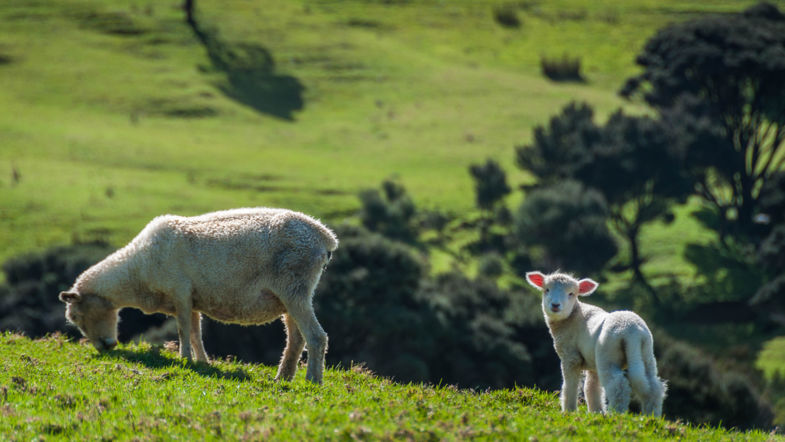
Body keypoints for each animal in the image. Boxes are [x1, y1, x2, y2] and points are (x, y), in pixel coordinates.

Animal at [55, 207, 336, 384]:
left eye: (76, 317)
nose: (105, 347)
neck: (136, 270)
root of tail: (325, 237)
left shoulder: (179, 291)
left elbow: (182, 330)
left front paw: (184, 359)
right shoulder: (192, 300)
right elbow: (195, 332)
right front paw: (201, 362)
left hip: (294, 287)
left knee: (316, 336)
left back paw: (313, 381)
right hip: (290, 294)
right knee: (296, 339)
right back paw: (283, 378)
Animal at [524, 272, 664, 416]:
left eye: (571, 293)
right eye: (547, 290)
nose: (555, 305)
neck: (572, 316)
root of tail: (632, 331)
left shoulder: (570, 356)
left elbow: (570, 384)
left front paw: (569, 410)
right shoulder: (592, 363)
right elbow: (591, 387)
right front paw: (596, 412)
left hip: (608, 354)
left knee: (618, 385)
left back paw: (616, 414)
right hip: (646, 353)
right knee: (653, 387)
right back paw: (652, 415)